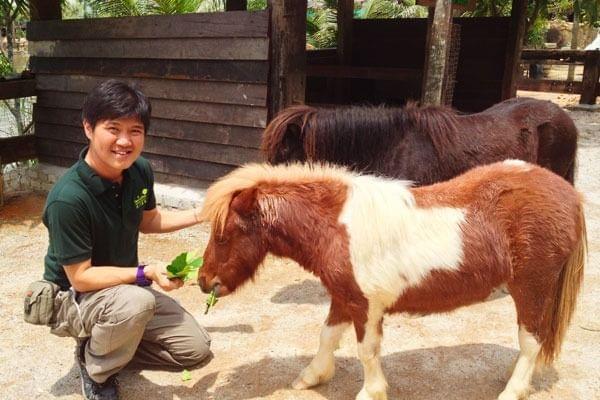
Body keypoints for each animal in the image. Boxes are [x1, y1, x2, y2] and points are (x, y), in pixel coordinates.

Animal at [197, 160, 584, 400]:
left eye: (223, 235)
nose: (203, 281)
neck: (335, 226)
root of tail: (569, 193)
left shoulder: (365, 306)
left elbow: (366, 351)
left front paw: (371, 391)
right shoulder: (344, 297)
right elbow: (327, 336)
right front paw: (312, 376)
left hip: (532, 289)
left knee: (531, 341)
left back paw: (513, 389)